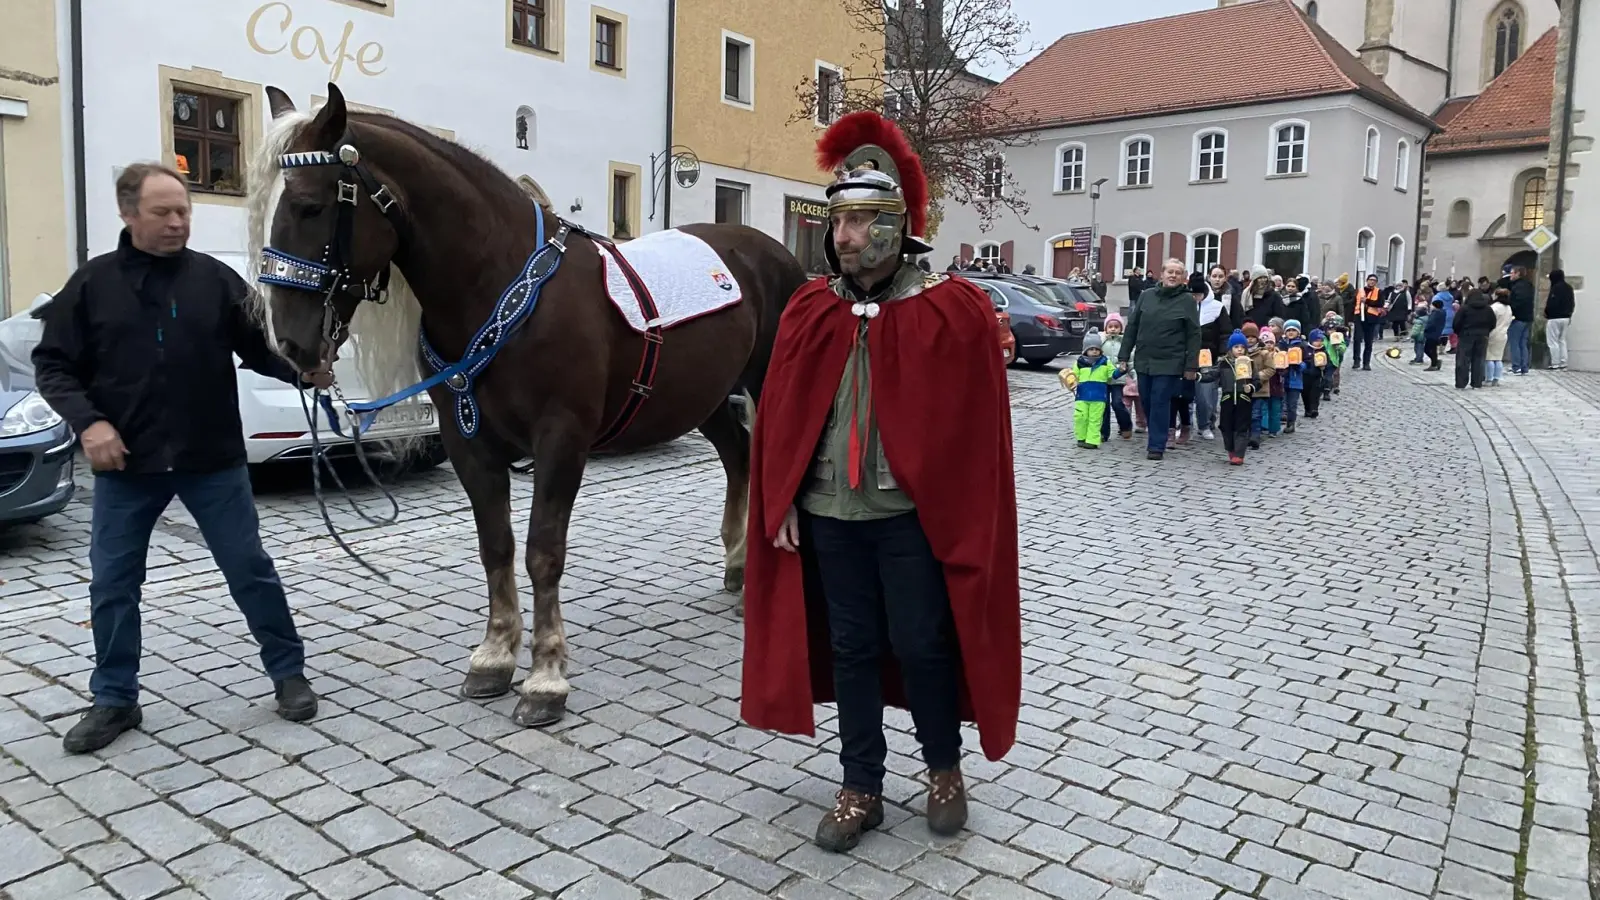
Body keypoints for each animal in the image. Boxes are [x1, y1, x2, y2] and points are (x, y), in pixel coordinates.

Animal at [251, 84, 806, 723]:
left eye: (310, 205)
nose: (289, 343)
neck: (500, 287)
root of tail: (770, 252)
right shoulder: (469, 442)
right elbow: (496, 544)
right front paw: (494, 657)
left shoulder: (560, 438)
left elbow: (543, 550)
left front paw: (545, 677)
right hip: (707, 398)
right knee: (739, 457)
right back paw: (739, 567)